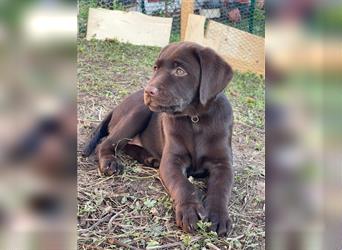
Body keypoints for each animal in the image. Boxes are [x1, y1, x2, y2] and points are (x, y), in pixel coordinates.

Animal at [81, 41, 234, 236]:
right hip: (139, 112)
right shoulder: (171, 161)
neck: (196, 118)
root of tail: (116, 107)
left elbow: (221, 188)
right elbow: (183, 185)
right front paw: (189, 209)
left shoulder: (223, 164)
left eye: (180, 71)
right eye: (156, 68)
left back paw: (149, 158)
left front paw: (218, 216)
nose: (148, 91)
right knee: (107, 143)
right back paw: (110, 162)